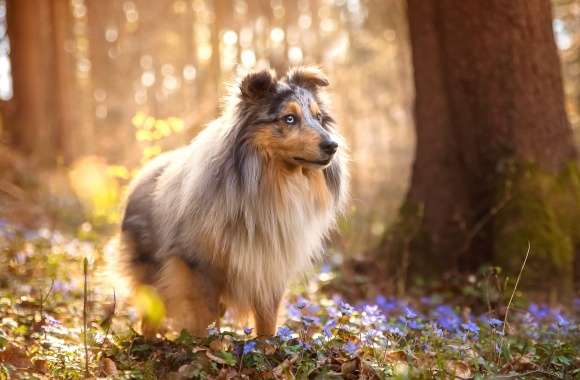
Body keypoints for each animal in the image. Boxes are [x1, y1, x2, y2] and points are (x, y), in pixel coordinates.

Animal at [118, 66, 344, 336]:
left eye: (318, 118)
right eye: (289, 118)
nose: (332, 145)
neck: (272, 184)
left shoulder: (270, 268)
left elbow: (267, 324)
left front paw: (266, 346)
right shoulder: (199, 268)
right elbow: (205, 323)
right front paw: (207, 346)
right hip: (151, 272)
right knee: (150, 316)